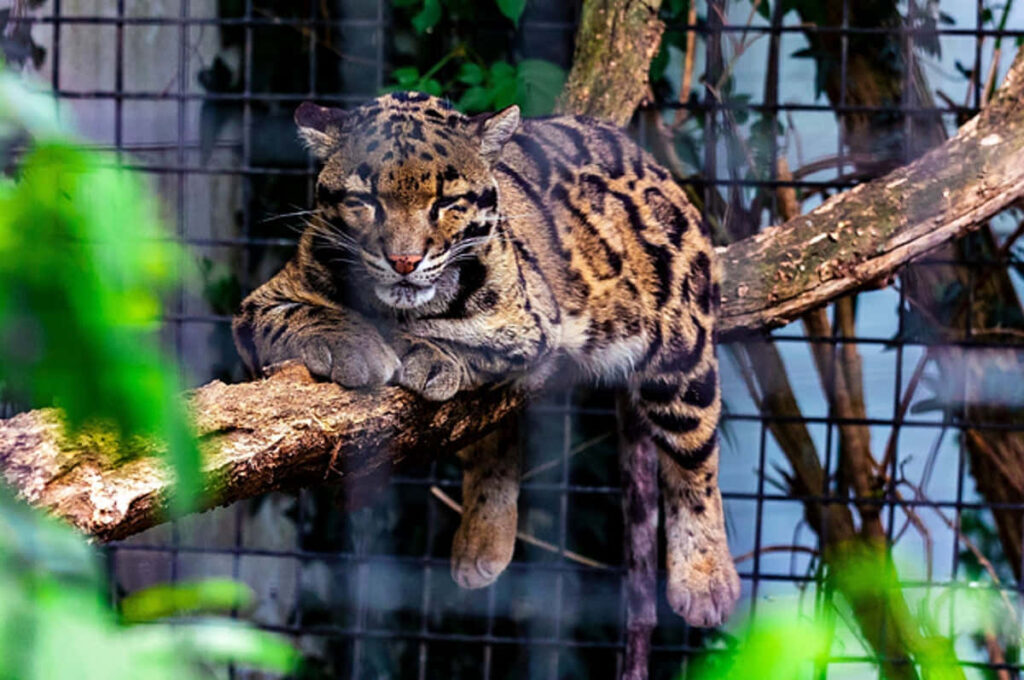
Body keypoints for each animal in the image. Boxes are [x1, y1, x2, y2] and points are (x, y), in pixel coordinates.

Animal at [232, 91, 740, 627]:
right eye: (365, 201)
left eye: (446, 204)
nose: (404, 261)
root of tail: (655, 165)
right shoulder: (257, 305)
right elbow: (295, 315)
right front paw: (352, 341)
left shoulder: (532, 325)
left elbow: (438, 328)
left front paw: (416, 348)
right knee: (491, 442)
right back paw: (483, 541)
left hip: (680, 351)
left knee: (695, 463)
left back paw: (706, 577)